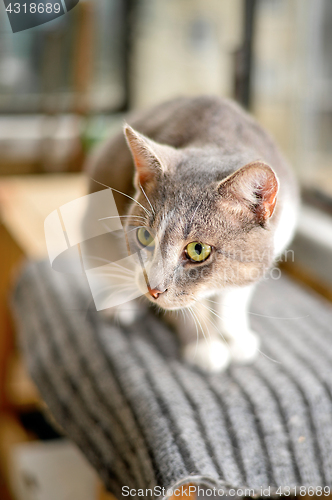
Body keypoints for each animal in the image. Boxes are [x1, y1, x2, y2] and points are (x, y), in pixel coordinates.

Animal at [85, 96, 298, 372]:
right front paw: (205, 345)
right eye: (145, 237)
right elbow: (188, 306)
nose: (152, 289)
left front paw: (235, 336)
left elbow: (235, 296)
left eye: (198, 250)